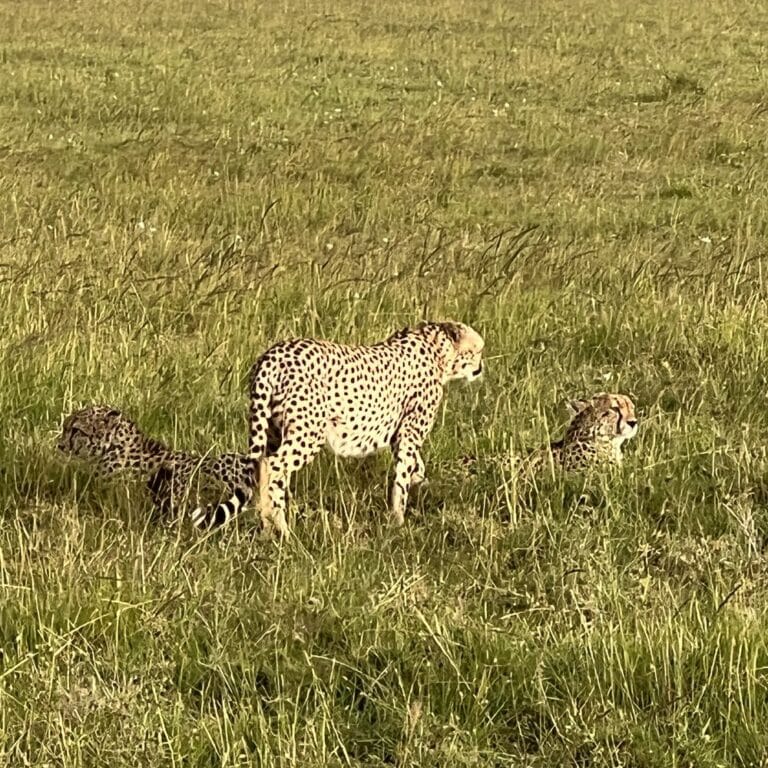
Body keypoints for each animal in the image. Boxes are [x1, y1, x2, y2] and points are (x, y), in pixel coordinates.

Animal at [191, 321, 485, 536]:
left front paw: (417, 479)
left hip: (270, 430)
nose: (481, 367)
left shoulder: (399, 433)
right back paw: (280, 528)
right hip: (308, 433)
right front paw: (398, 521)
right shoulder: (409, 433)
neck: (436, 348)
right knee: (271, 467)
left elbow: (414, 465)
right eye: (478, 350)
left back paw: (269, 527)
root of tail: (273, 354)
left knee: (262, 469)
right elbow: (401, 476)